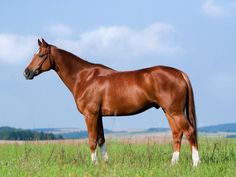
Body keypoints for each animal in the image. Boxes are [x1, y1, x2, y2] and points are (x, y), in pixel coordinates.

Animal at [23, 38, 199, 166]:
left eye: (40, 55)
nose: (26, 72)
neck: (84, 77)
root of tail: (180, 73)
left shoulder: (90, 115)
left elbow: (92, 140)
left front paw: (93, 165)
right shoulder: (99, 116)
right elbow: (101, 139)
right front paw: (105, 164)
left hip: (175, 112)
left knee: (189, 131)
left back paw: (196, 163)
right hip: (168, 111)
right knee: (177, 134)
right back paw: (173, 164)